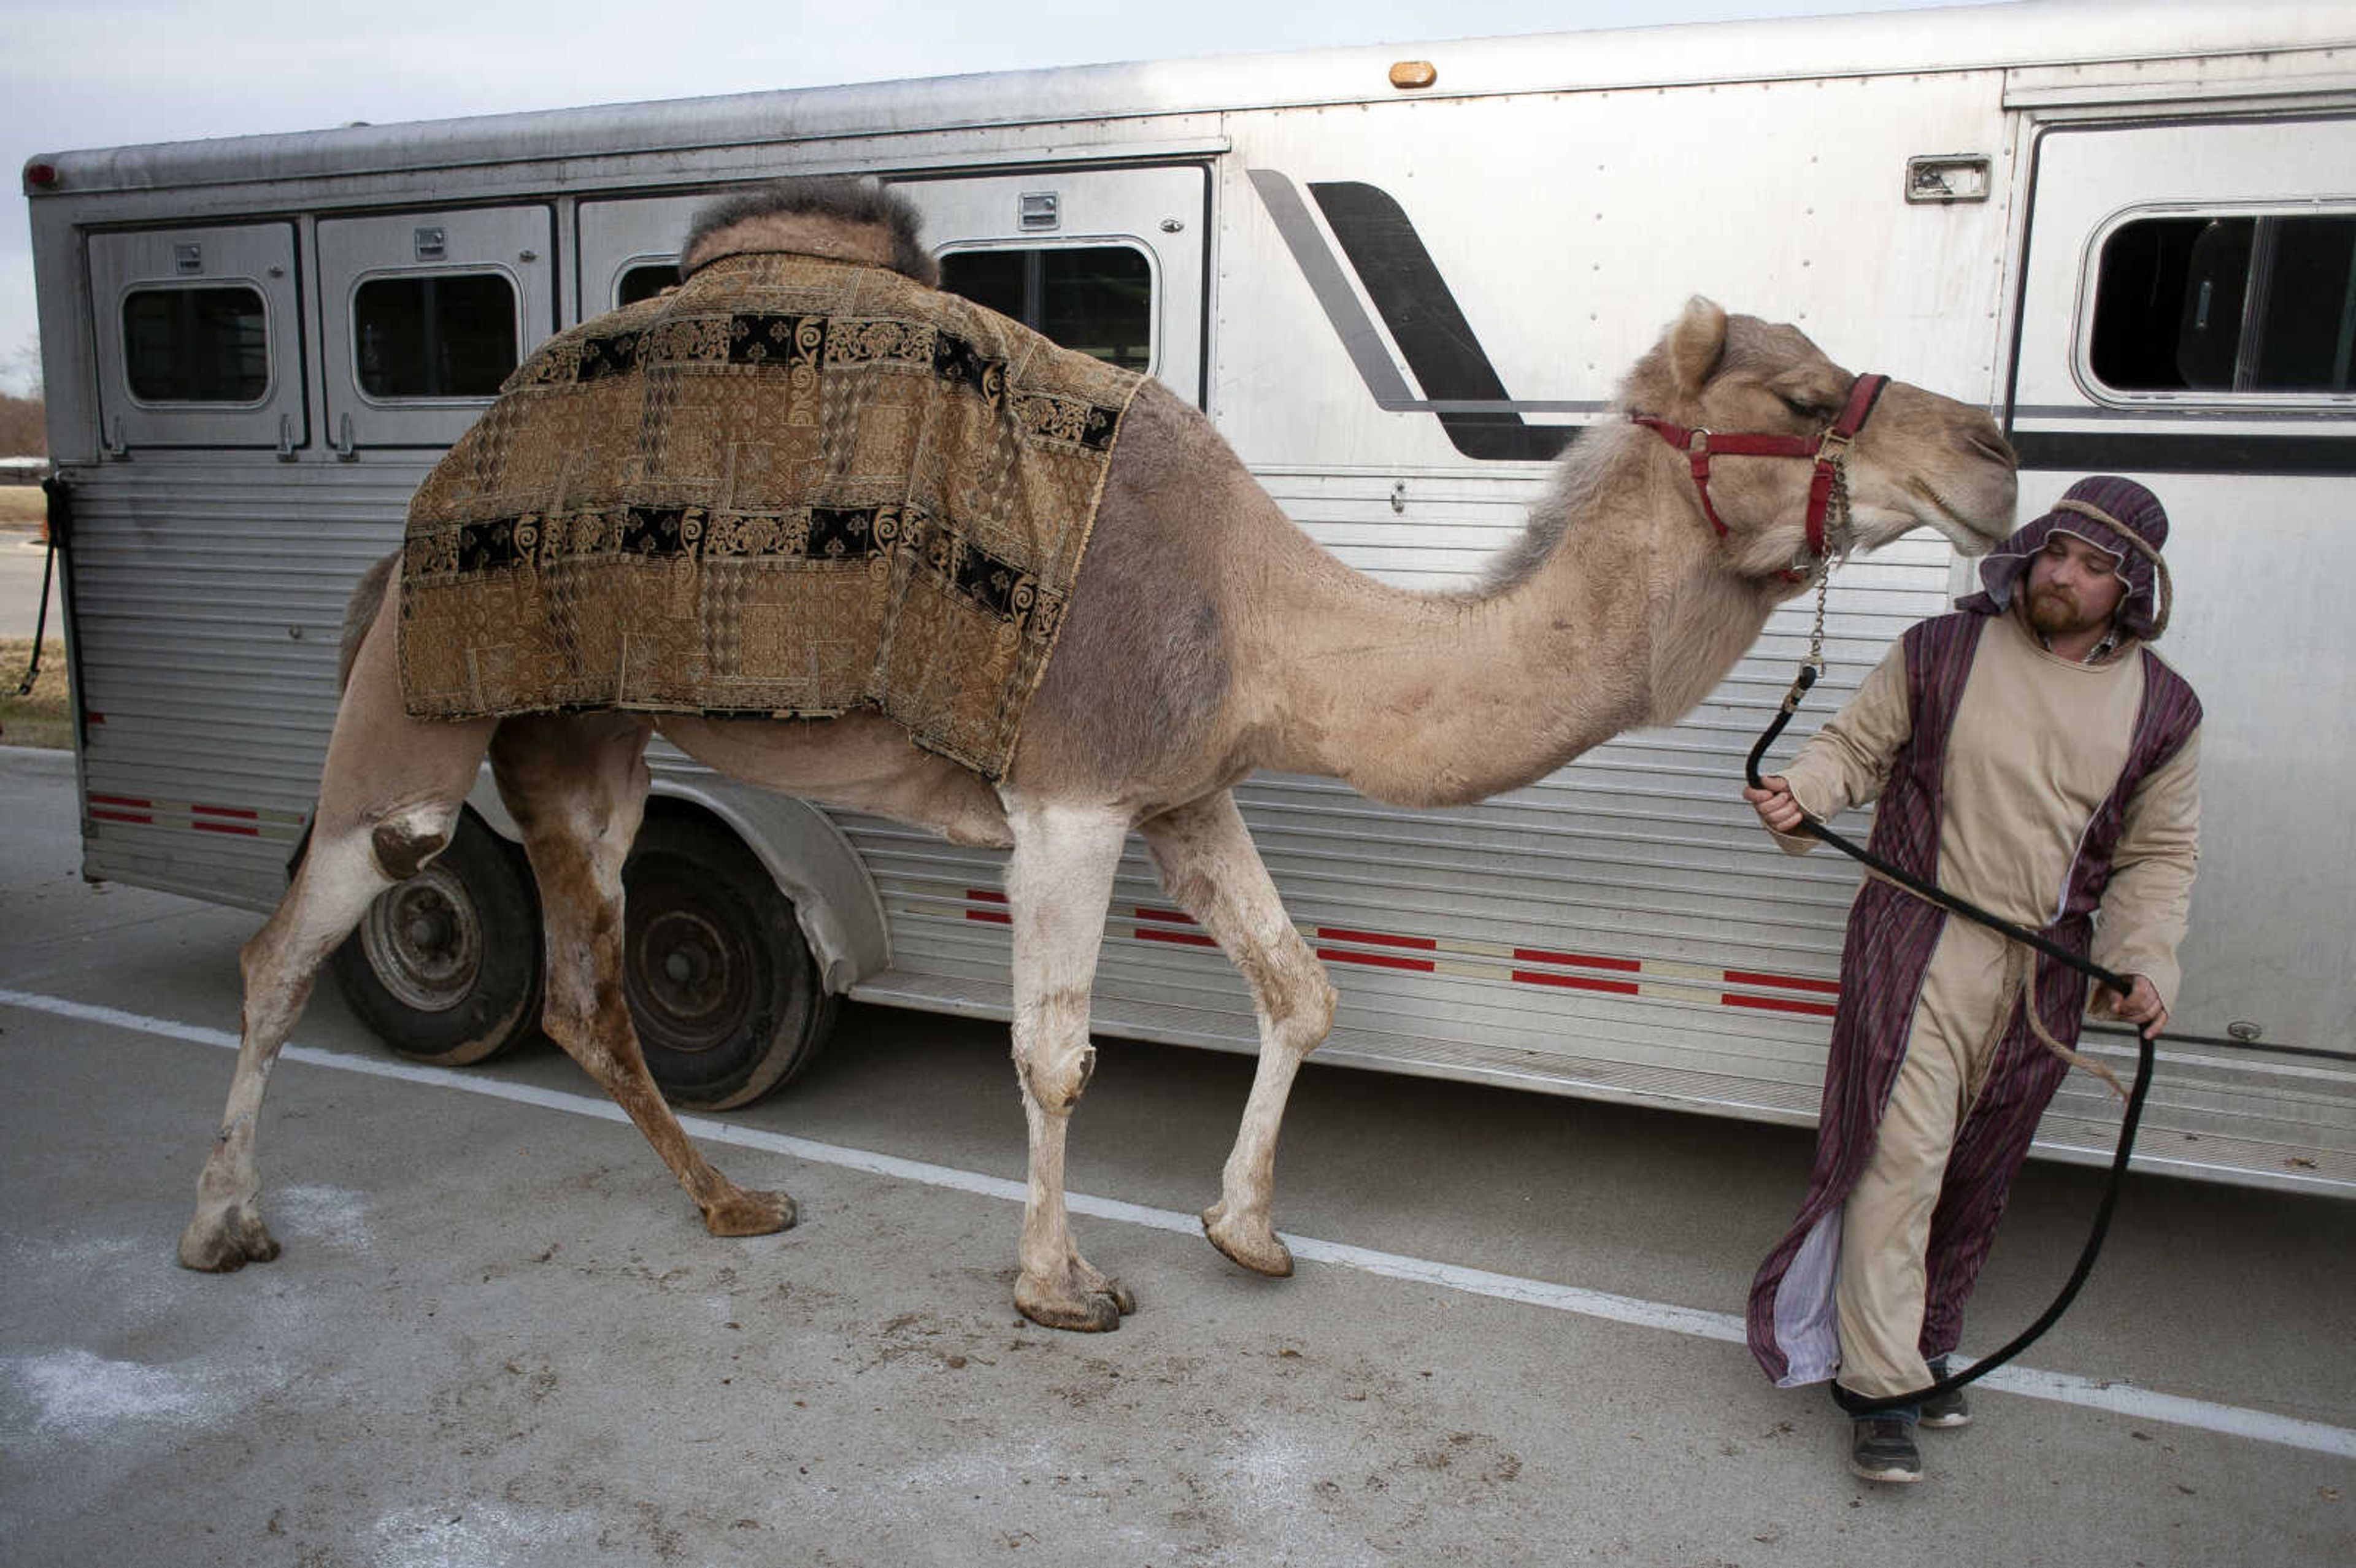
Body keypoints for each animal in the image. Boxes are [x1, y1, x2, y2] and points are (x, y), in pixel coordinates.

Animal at [174, 183, 2017, 1328]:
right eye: (1807, 395)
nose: (1995, 452)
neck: (1263, 614)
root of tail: (409, 523)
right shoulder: (1068, 791)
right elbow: (1056, 1053)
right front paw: (1062, 1285)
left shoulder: (1186, 785)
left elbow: (1301, 991)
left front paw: (1246, 1229)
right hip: (417, 718)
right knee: (297, 940)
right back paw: (222, 1221)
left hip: (584, 733)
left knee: (581, 982)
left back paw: (732, 1203)